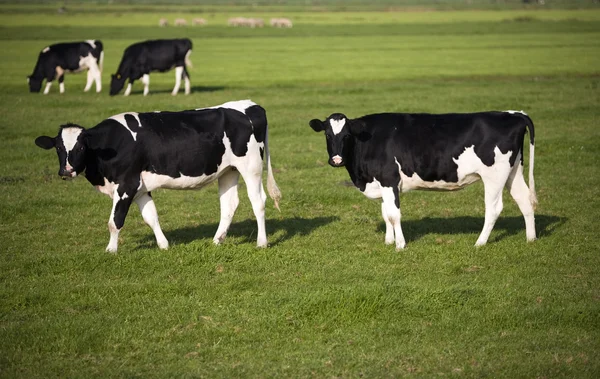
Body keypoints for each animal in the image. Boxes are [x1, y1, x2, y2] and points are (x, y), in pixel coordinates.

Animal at [35, 101, 282, 254]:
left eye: (81, 147)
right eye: (58, 148)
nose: (66, 170)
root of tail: (251, 106)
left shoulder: (126, 184)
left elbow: (115, 222)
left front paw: (110, 250)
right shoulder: (140, 188)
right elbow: (151, 217)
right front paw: (163, 245)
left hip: (251, 167)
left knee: (258, 201)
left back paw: (261, 242)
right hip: (228, 170)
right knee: (229, 204)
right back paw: (217, 240)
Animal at [312, 111, 536, 251]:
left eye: (347, 135)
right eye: (327, 134)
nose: (336, 159)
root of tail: (514, 114)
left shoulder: (389, 179)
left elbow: (393, 215)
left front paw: (400, 245)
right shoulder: (383, 183)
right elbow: (385, 213)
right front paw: (388, 240)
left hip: (494, 176)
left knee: (494, 208)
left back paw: (479, 243)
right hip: (514, 171)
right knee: (524, 200)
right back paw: (531, 238)